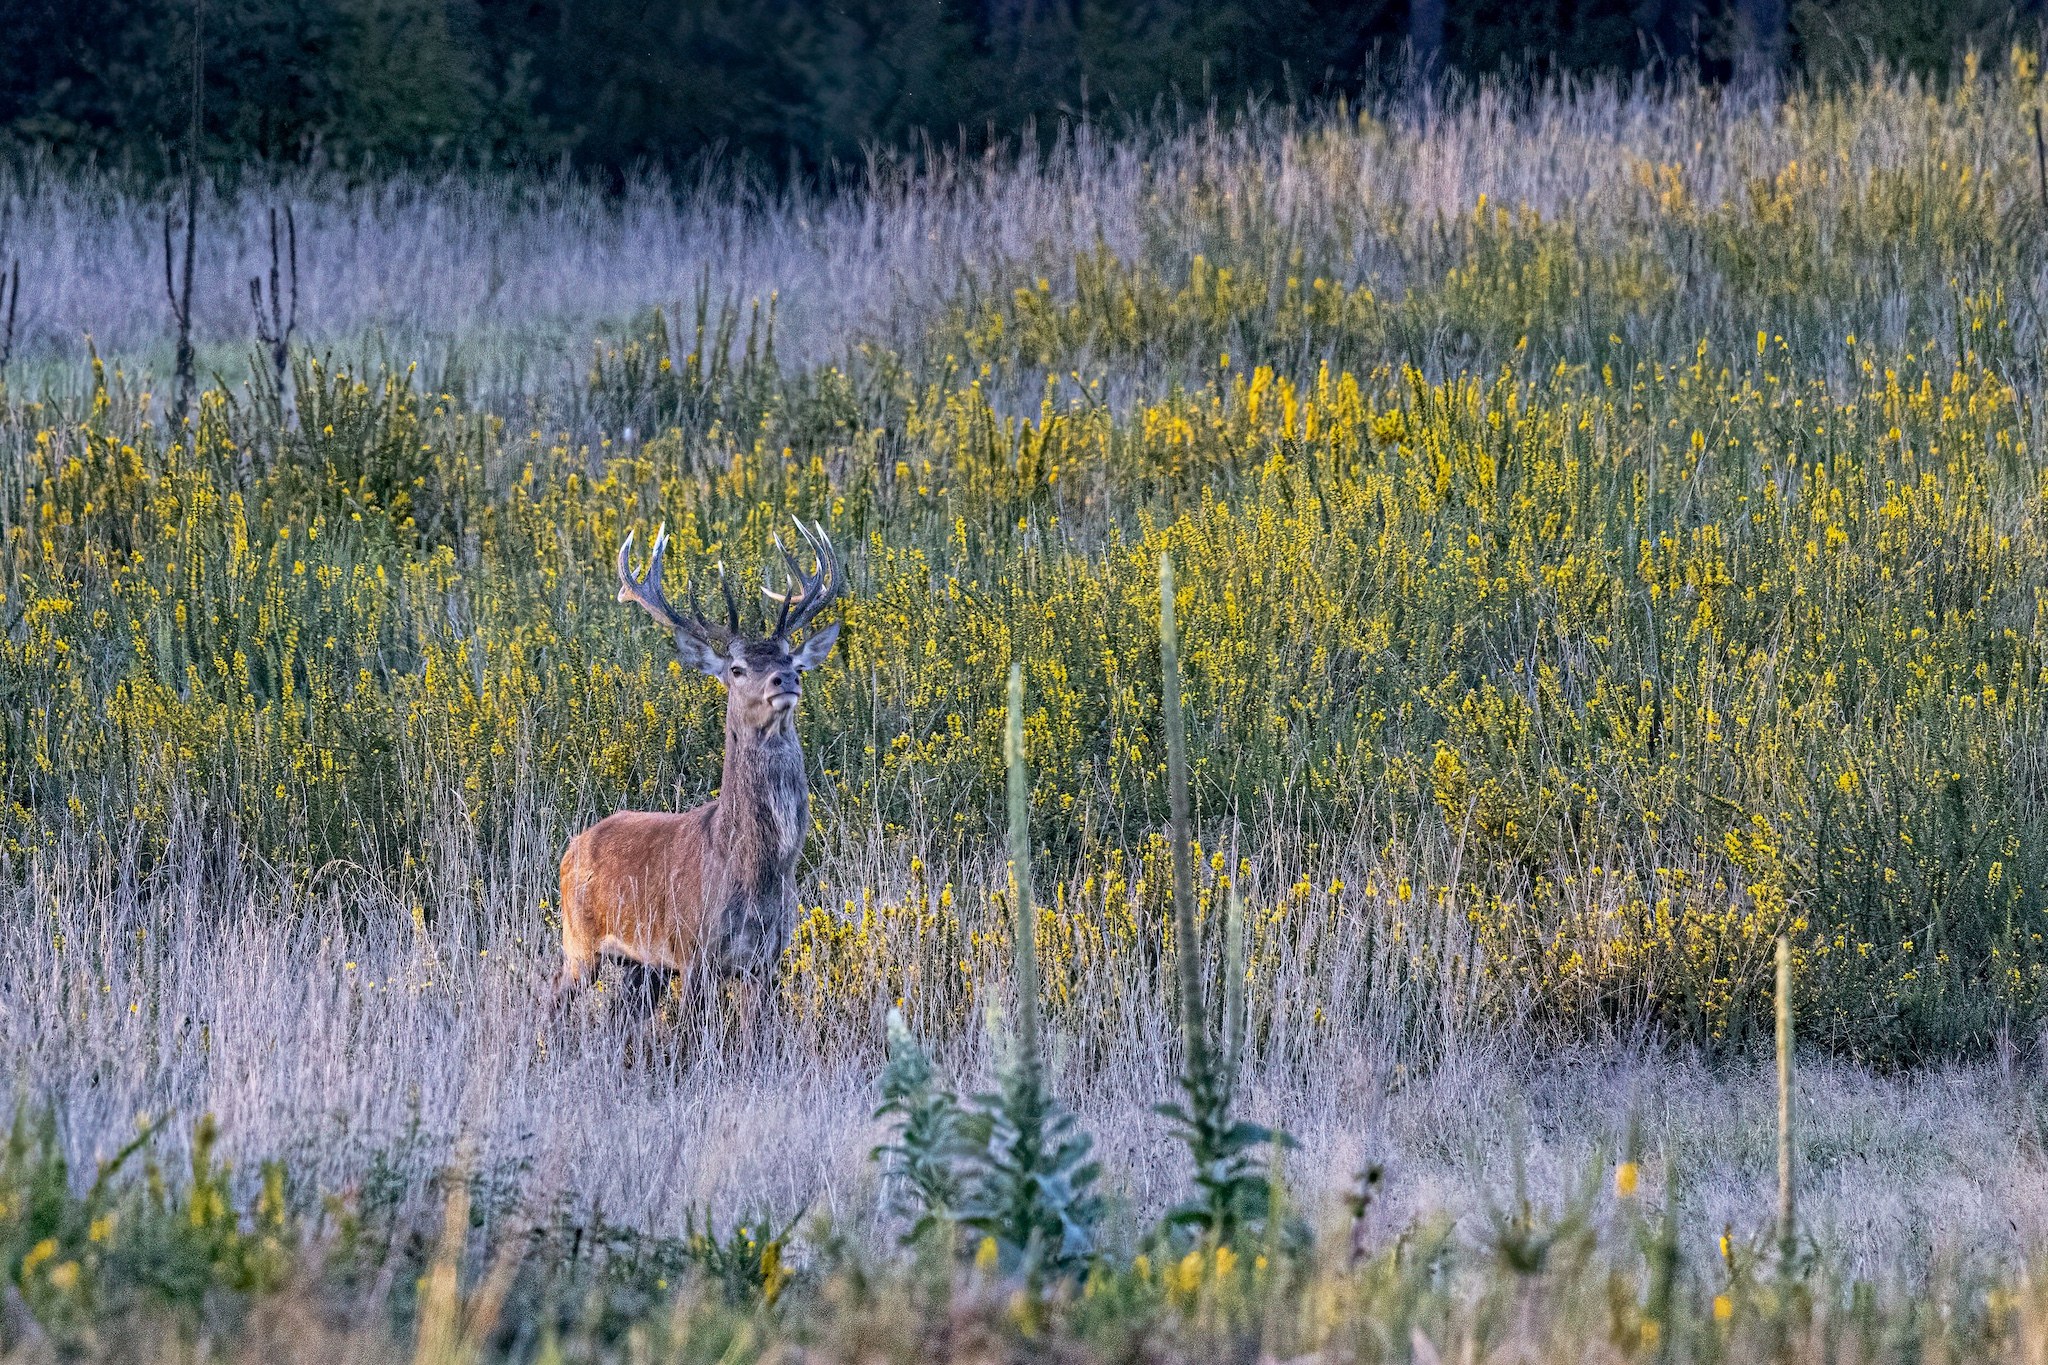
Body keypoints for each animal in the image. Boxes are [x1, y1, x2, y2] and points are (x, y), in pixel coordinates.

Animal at [552, 519, 843, 1018]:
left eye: (793, 660)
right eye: (738, 668)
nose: (786, 679)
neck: (754, 870)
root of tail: (572, 849)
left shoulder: (766, 961)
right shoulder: (693, 951)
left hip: (641, 966)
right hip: (579, 941)